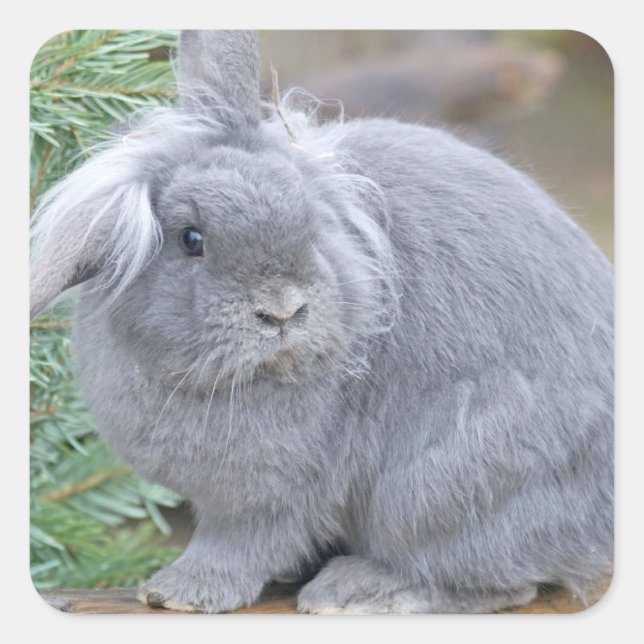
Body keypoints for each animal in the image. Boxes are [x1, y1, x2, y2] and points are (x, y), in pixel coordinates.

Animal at [29, 30, 613, 614]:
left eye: (310, 222)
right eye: (191, 239)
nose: (283, 310)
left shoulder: (268, 496)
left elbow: (239, 545)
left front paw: (179, 593)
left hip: (443, 485)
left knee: (498, 583)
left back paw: (355, 591)